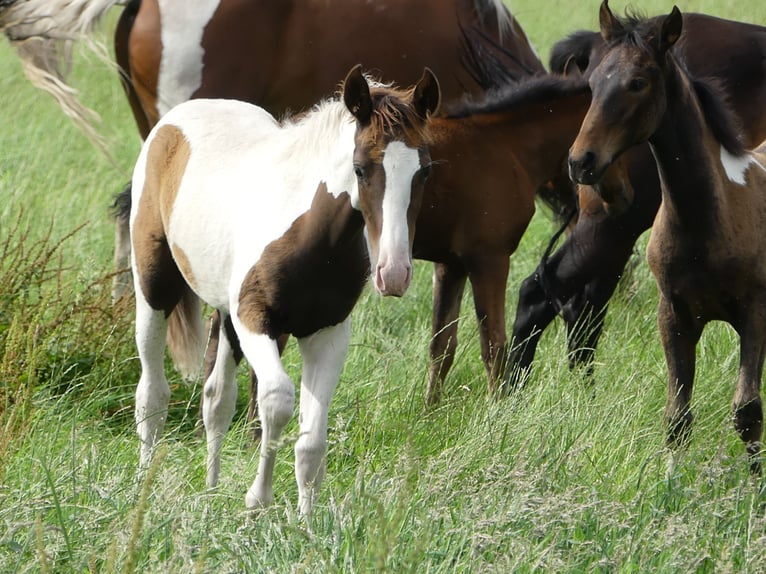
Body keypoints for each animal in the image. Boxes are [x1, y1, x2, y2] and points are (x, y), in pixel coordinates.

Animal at [130, 65, 440, 516]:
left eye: (425, 170)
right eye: (360, 169)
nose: (394, 273)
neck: (313, 237)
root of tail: (174, 121)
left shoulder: (327, 333)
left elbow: (311, 443)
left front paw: (306, 521)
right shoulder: (256, 319)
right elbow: (276, 401)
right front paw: (257, 500)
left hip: (226, 314)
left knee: (216, 399)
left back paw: (210, 488)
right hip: (154, 288)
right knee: (152, 392)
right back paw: (143, 483)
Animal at [572, 0, 766, 476]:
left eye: (637, 83)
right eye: (591, 82)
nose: (581, 162)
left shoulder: (755, 311)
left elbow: (748, 411)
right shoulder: (674, 315)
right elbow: (678, 416)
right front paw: (669, 482)